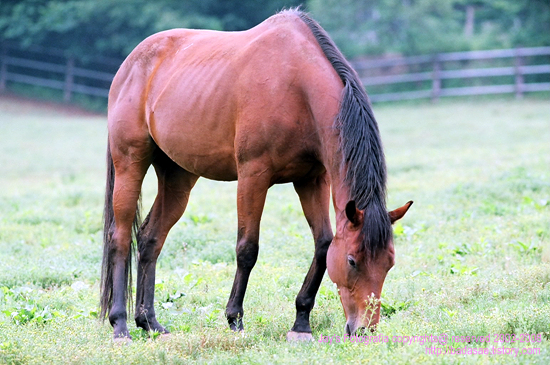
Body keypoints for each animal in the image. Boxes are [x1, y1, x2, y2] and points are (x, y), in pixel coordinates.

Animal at [101, 10, 414, 342]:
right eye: (353, 261)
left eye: (389, 263)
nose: (365, 330)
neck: (297, 86)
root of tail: (131, 63)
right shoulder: (253, 176)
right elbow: (247, 249)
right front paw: (234, 318)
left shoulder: (312, 180)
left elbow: (323, 244)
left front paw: (301, 322)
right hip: (130, 163)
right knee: (120, 238)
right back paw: (120, 325)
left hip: (178, 177)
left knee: (150, 238)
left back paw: (149, 322)